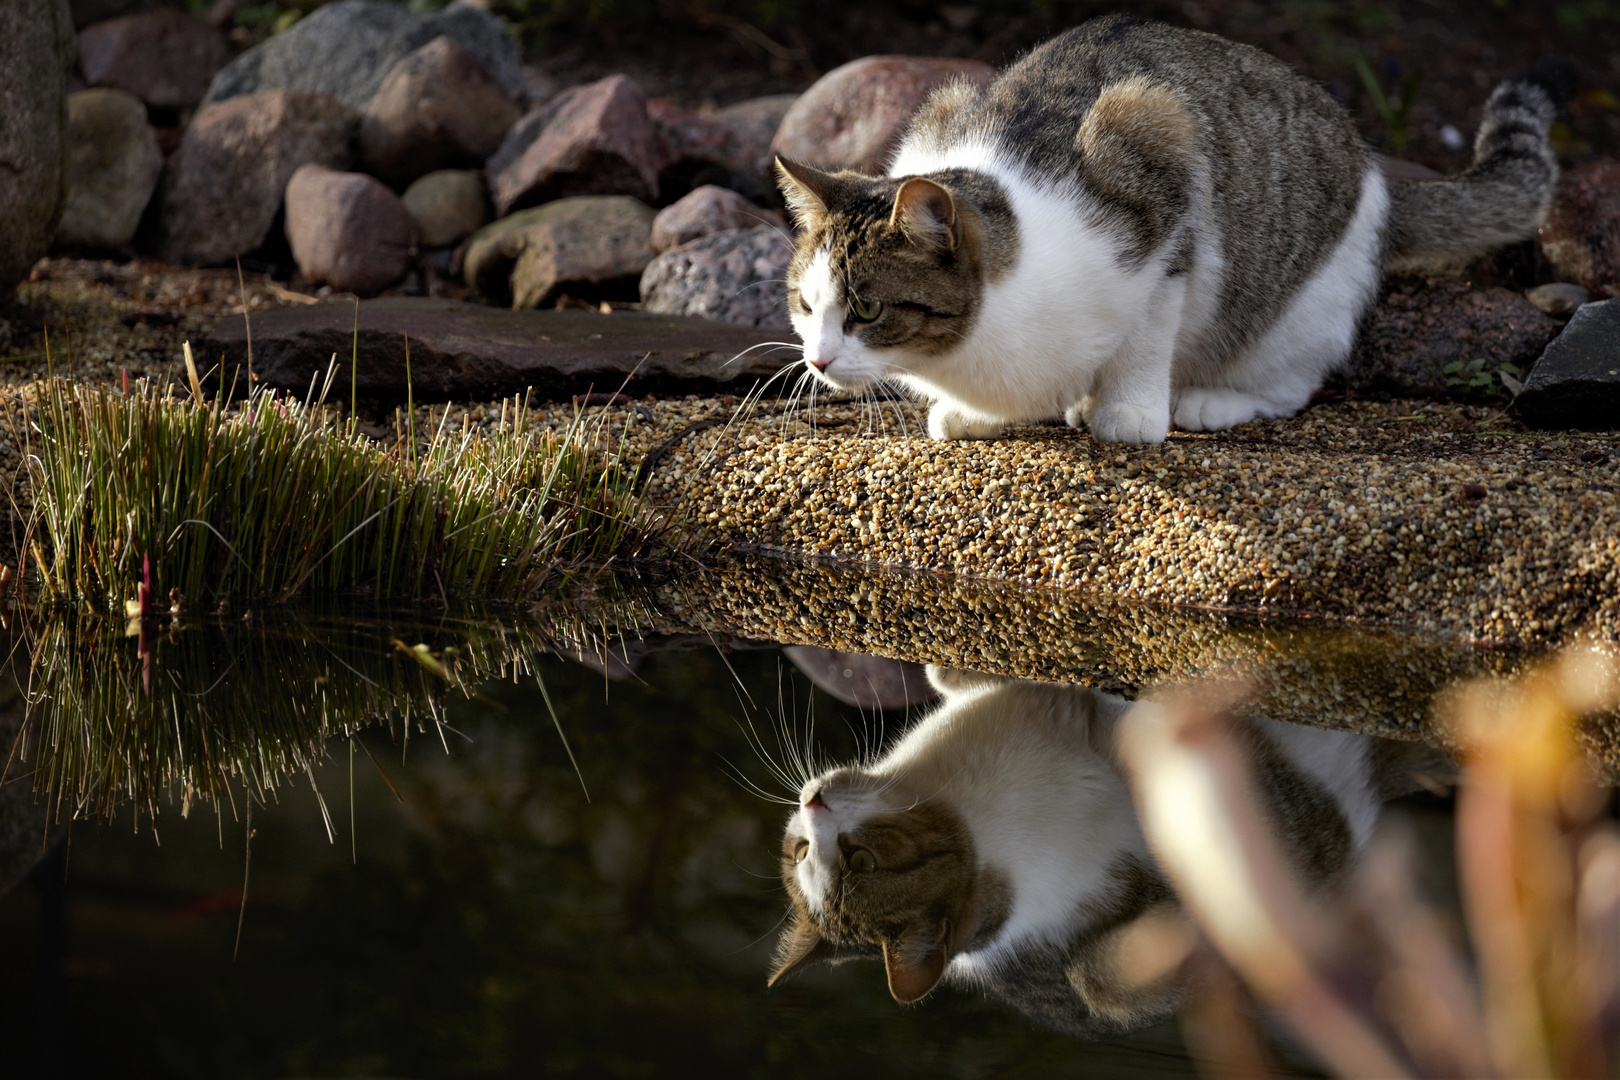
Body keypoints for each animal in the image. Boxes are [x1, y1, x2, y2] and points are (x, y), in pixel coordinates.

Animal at [771, 13, 1568, 443]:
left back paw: (1212, 399)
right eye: (806, 306)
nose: (816, 360)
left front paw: (1128, 413)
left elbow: (1145, 340)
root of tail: (1374, 166)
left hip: (1301, 305)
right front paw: (972, 415)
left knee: (1291, 381)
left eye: (867, 308)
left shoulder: (1160, 178)